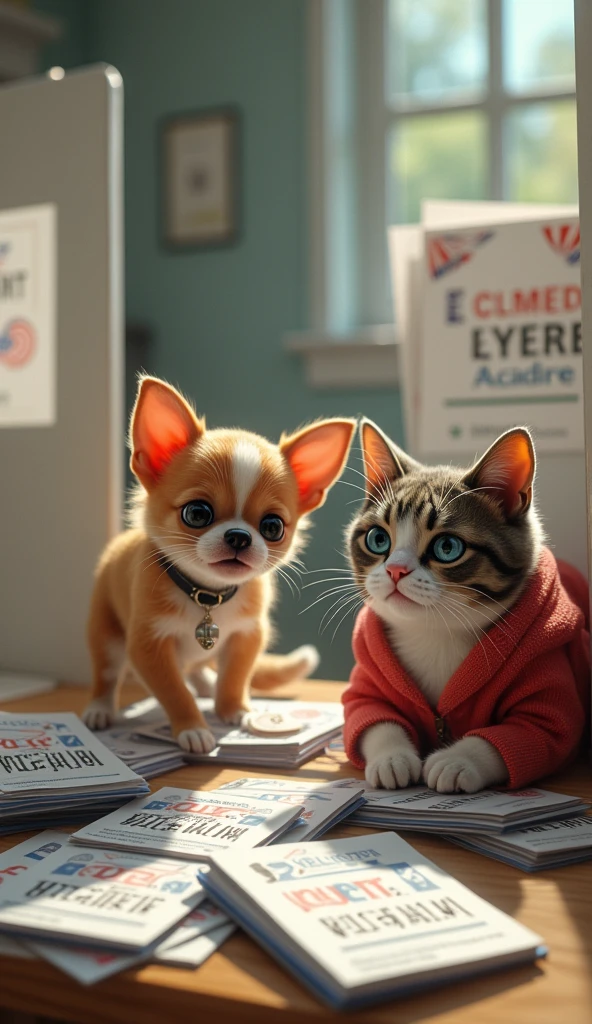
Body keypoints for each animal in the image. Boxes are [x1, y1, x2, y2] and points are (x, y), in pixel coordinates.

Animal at [83, 376, 354, 753]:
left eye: (273, 527)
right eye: (197, 513)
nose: (239, 536)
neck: (206, 595)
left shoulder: (247, 634)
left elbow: (235, 676)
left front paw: (234, 710)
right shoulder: (148, 647)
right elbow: (174, 691)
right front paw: (192, 728)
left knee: (196, 667)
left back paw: (207, 684)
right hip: (105, 631)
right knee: (107, 674)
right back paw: (100, 709)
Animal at [346, 415, 540, 790]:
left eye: (447, 547)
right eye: (378, 539)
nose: (395, 569)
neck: (434, 633)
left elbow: (517, 734)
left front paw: (458, 761)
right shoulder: (366, 683)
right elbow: (370, 715)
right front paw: (392, 757)